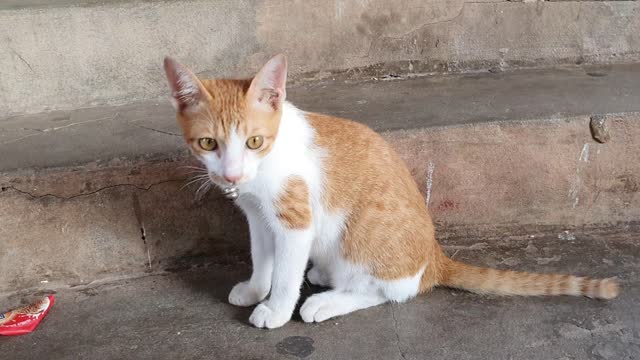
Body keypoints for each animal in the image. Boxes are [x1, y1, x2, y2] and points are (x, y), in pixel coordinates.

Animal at [164, 54, 620, 330]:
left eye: (254, 141)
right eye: (209, 143)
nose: (231, 175)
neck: (265, 167)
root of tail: (434, 259)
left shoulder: (295, 221)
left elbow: (287, 272)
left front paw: (275, 308)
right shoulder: (259, 217)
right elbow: (263, 257)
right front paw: (256, 288)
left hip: (360, 234)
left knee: (391, 291)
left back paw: (325, 301)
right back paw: (324, 275)